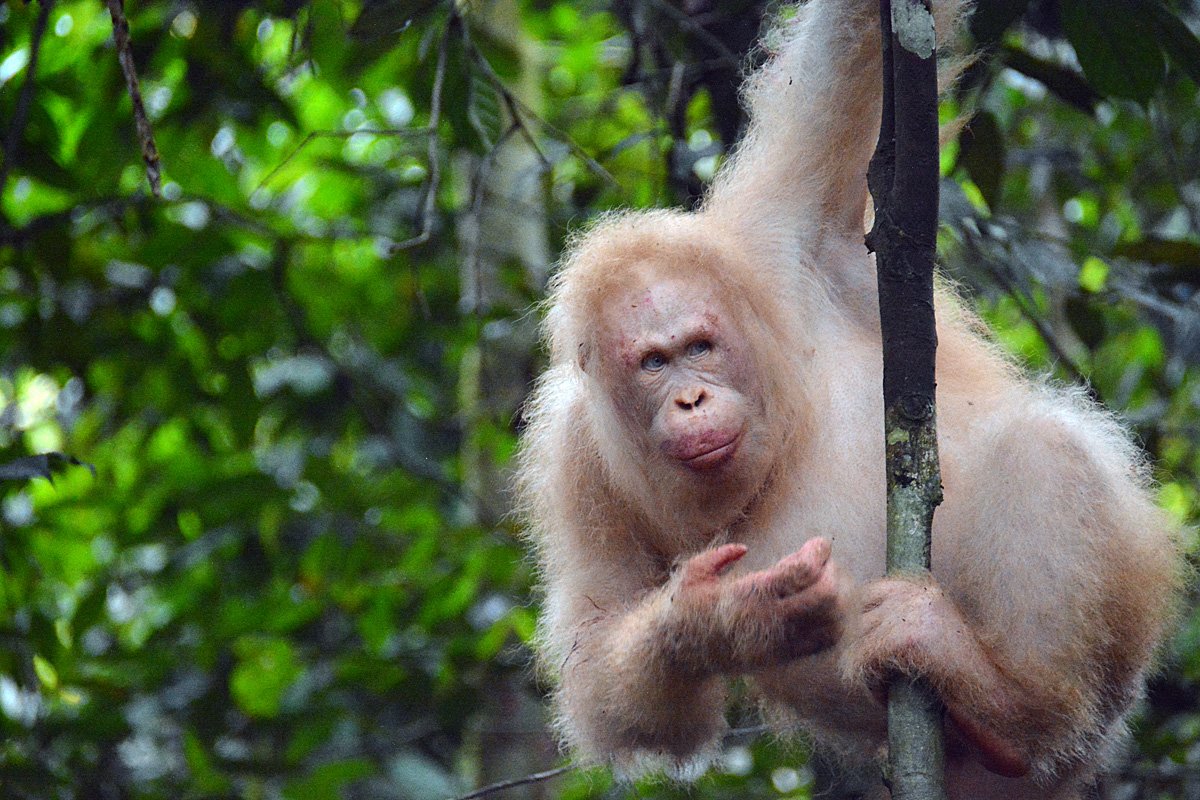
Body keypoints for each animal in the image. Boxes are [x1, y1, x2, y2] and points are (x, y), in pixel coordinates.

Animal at [515, 0, 1183, 797]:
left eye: (699, 347)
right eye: (652, 363)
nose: (692, 400)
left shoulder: (781, 235)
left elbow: (851, 52)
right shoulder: (572, 457)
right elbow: (595, 648)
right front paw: (725, 617)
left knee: (1042, 449)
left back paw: (1013, 707)